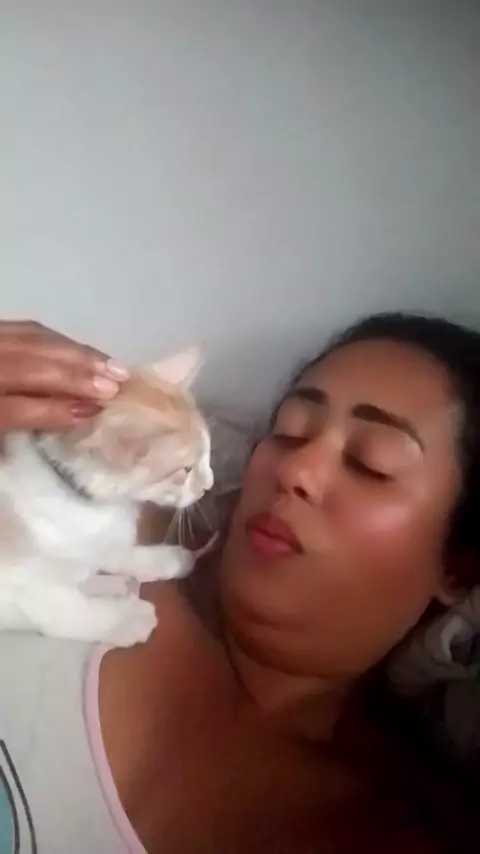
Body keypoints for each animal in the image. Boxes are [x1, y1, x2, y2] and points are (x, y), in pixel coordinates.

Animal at [0, 346, 213, 647]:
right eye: (186, 470)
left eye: (208, 454)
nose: (209, 485)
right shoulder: (21, 585)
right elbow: (69, 610)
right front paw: (126, 618)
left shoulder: (102, 537)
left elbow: (115, 550)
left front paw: (163, 559)